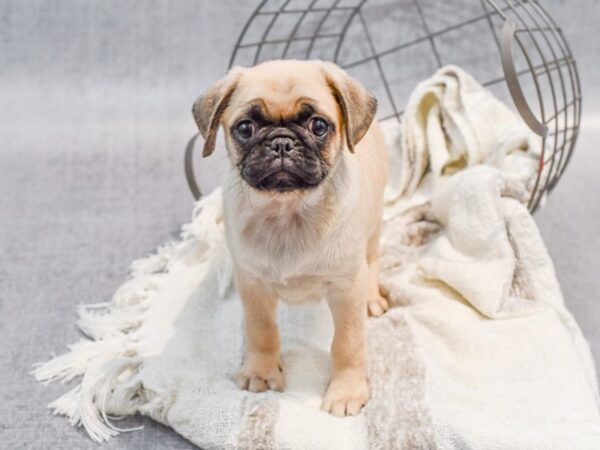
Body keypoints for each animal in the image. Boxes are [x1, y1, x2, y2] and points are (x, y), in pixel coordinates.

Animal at [192, 60, 390, 418]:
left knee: (372, 260)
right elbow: (261, 331)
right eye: (245, 128)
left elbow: (348, 343)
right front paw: (261, 371)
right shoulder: (253, 286)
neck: (288, 213)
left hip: (373, 229)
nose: (282, 143)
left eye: (319, 126)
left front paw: (346, 391)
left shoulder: (347, 289)